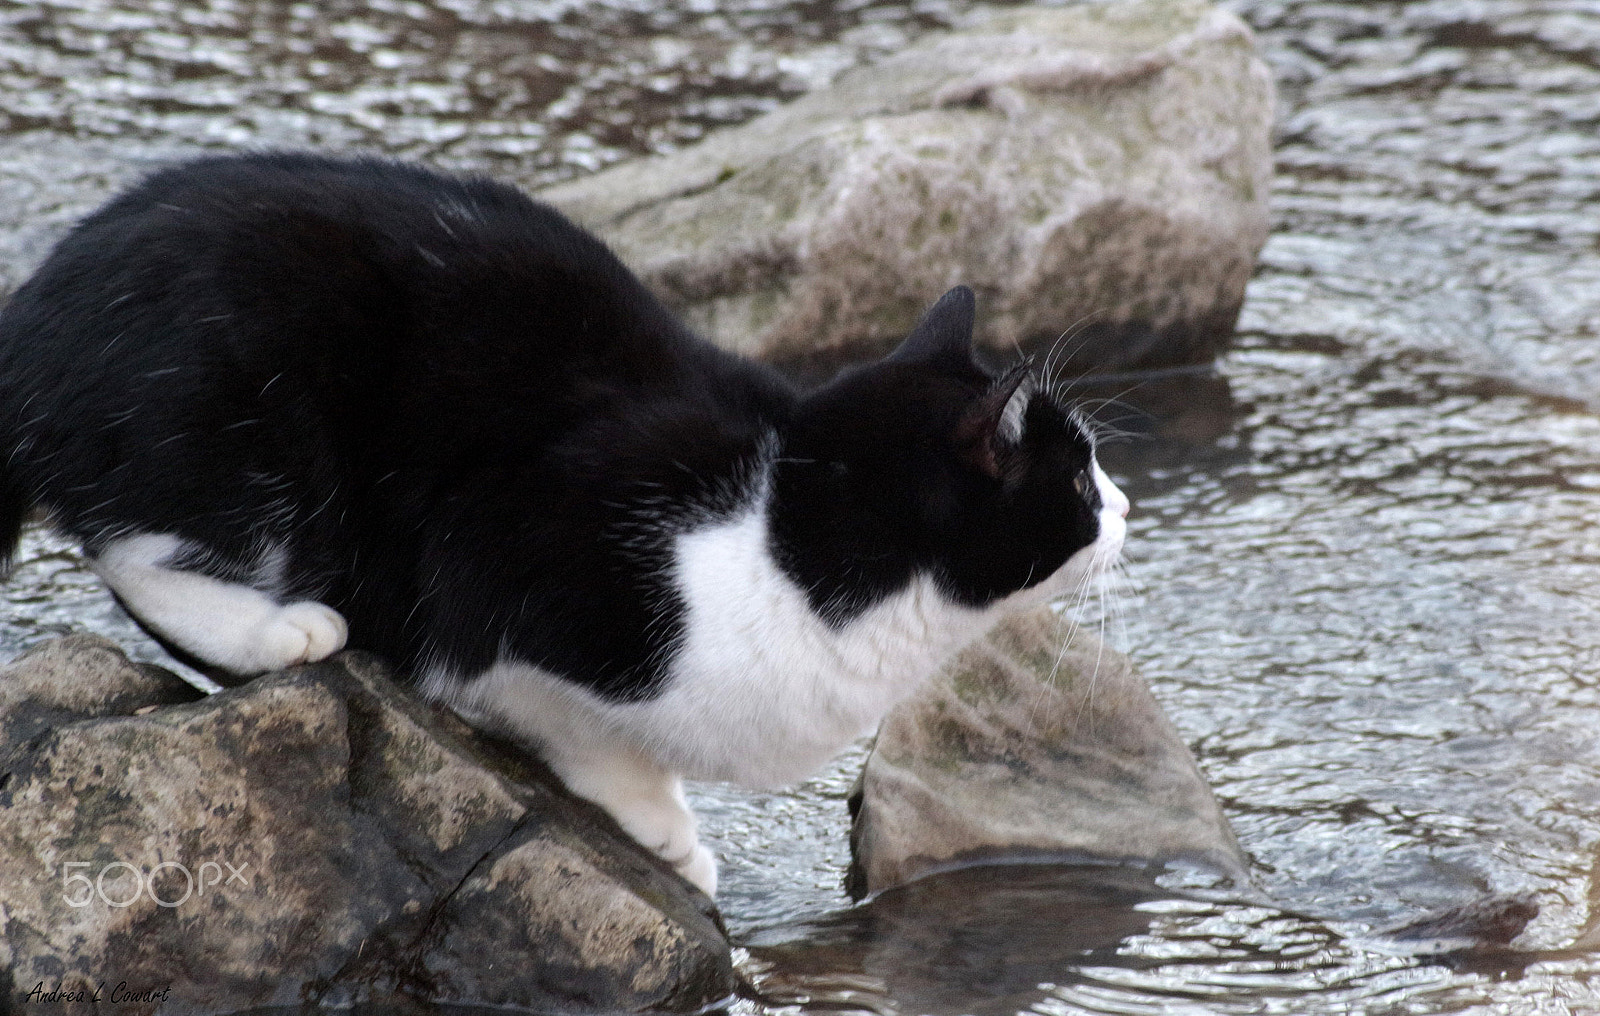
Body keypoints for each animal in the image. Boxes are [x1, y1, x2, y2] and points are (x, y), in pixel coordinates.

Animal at [0, 152, 1126, 896]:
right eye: (1076, 474)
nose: (1125, 505)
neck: (784, 542)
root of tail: (35, 320)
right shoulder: (500, 573)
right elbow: (574, 718)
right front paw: (662, 825)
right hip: (241, 405)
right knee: (138, 544)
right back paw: (279, 629)